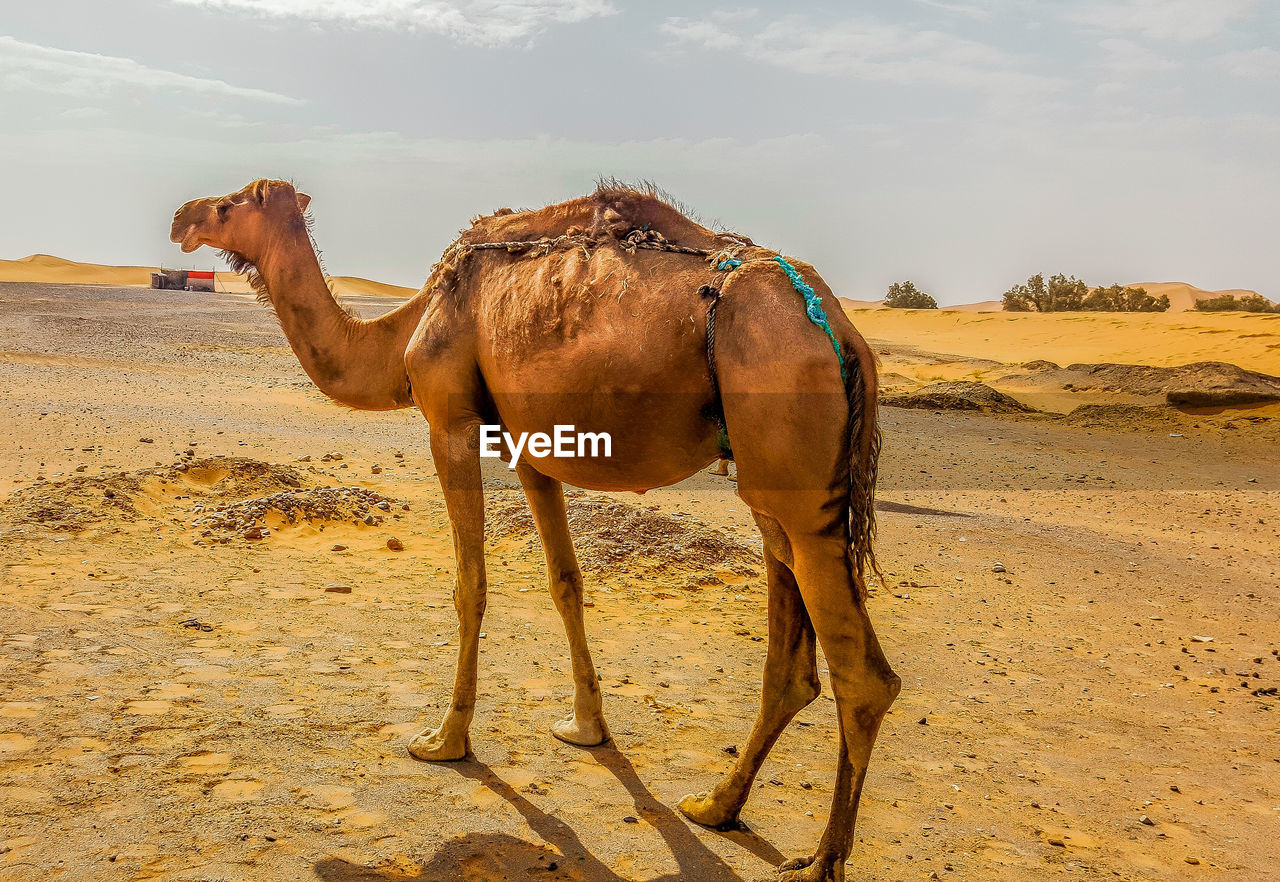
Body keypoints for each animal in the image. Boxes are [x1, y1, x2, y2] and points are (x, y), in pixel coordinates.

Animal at [170, 179, 901, 880]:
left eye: (230, 203)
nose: (182, 217)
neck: (407, 330)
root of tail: (845, 333)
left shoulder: (451, 422)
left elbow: (470, 585)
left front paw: (444, 740)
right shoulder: (531, 446)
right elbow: (565, 581)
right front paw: (586, 726)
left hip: (790, 441)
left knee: (863, 676)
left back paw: (819, 863)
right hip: (770, 477)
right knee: (792, 656)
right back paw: (715, 805)